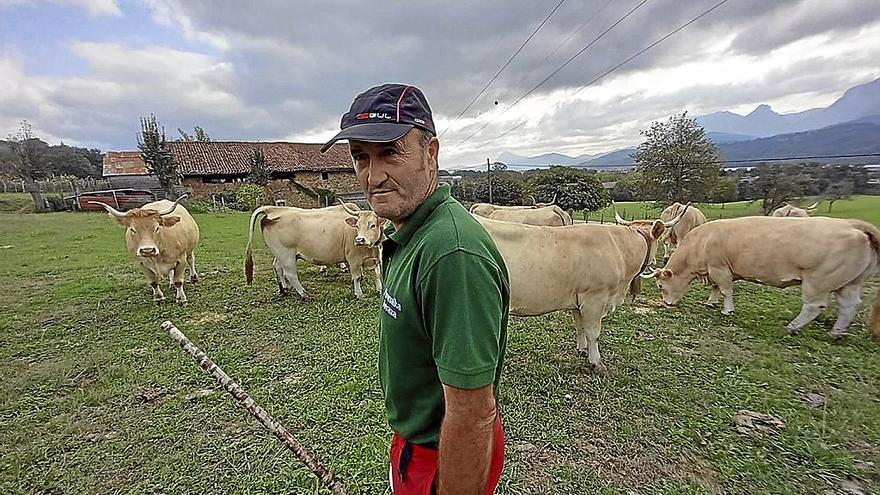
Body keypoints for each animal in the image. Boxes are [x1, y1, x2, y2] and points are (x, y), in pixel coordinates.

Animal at [248, 202, 384, 298]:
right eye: (357, 226)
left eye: (373, 225)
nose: (360, 240)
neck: (371, 248)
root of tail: (274, 209)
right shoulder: (353, 259)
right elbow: (357, 277)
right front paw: (359, 294)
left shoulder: (375, 258)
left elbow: (377, 274)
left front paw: (380, 290)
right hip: (286, 254)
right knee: (290, 274)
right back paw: (304, 294)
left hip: (280, 253)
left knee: (277, 267)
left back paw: (283, 290)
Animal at [474, 206, 688, 372]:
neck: (619, 249)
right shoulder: (595, 298)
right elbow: (593, 332)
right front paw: (596, 362)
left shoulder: (578, 301)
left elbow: (580, 327)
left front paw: (582, 349)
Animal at [648, 217, 880, 340]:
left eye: (660, 285)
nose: (667, 303)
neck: (700, 243)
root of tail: (853, 225)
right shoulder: (717, 270)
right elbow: (716, 289)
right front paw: (712, 303)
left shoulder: (719, 268)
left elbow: (726, 290)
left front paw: (727, 310)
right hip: (849, 284)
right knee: (849, 306)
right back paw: (836, 333)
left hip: (818, 282)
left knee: (813, 306)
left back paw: (793, 327)